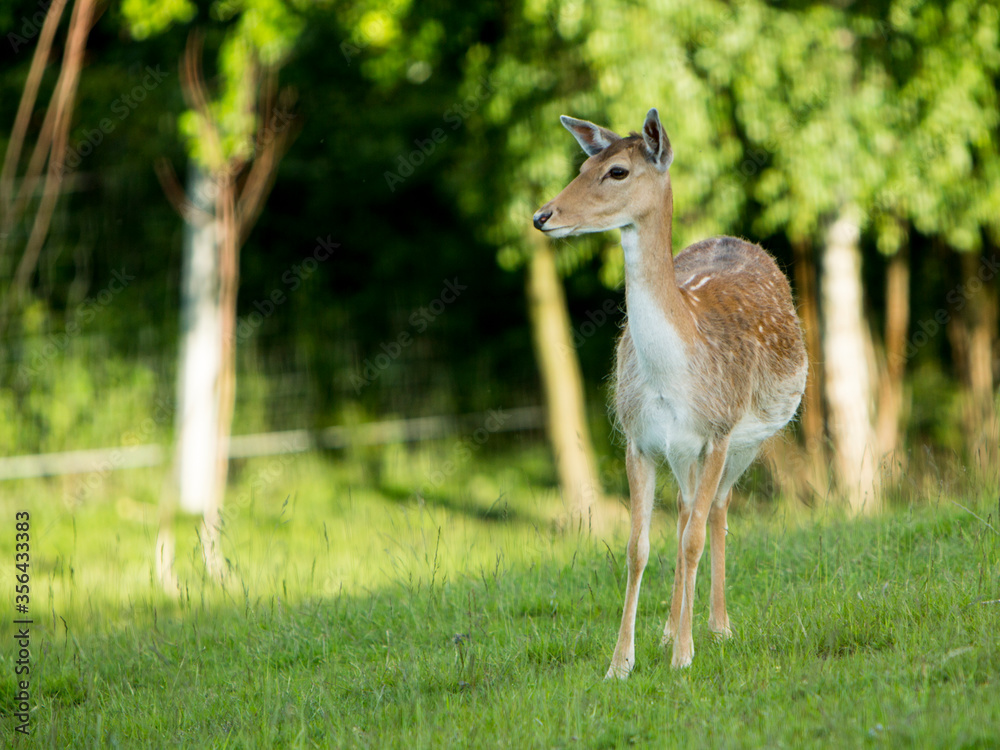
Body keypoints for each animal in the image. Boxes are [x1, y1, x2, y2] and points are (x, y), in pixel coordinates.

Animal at [532, 108, 804, 680]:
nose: (543, 216)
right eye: (583, 164)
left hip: (750, 440)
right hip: (681, 453)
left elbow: (695, 536)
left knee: (715, 510)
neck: (671, 374)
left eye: (616, 171)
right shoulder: (637, 439)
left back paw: (717, 626)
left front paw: (684, 657)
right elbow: (638, 546)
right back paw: (668, 628)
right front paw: (621, 663)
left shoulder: (717, 433)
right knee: (684, 512)